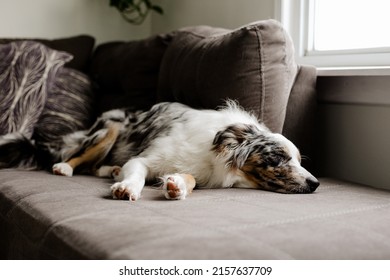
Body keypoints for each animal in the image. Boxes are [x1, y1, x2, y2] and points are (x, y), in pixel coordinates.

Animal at [0, 101, 320, 200]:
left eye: (299, 159)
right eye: (278, 158)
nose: (316, 183)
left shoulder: (200, 172)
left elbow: (189, 179)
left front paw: (176, 185)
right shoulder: (143, 159)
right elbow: (138, 174)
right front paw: (127, 187)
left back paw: (110, 169)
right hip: (110, 127)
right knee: (77, 156)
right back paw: (65, 166)